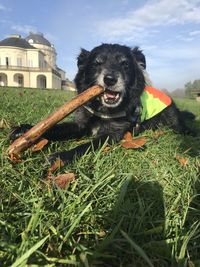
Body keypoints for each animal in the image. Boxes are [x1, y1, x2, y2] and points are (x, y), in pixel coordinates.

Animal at [9, 43, 195, 168]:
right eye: (97, 63)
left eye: (124, 63)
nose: (110, 79)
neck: (102, 111)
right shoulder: (80, 124)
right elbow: (56, 128)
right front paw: (25, 131)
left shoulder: (112, 134)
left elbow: (85, 146)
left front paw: (60, 157)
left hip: (172, 117)